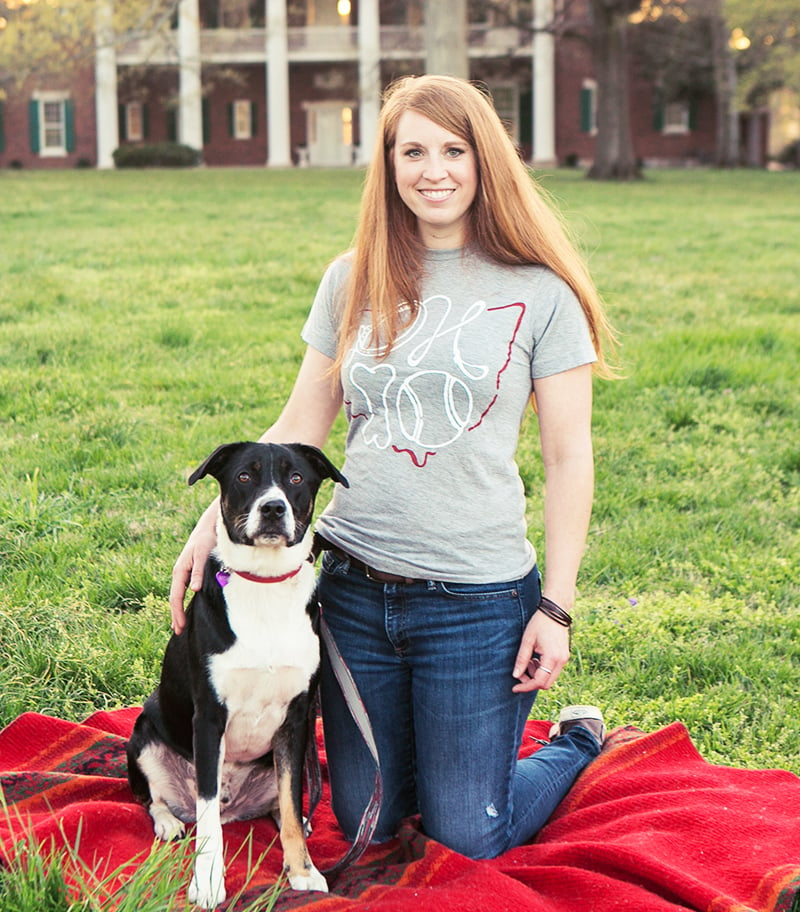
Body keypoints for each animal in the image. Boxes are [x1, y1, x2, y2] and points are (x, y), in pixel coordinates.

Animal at [127, 440, 346, 904]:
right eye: (245, 476)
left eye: (295, 478)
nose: (273, 508)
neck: (264, 585)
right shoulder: (210, 718)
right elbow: (207, 817)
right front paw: (208, 881)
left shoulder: (297, 718)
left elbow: (291, 802)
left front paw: (303, 870)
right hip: (144, 736)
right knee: (155, 798)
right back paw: (169, 822)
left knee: (283, 805)